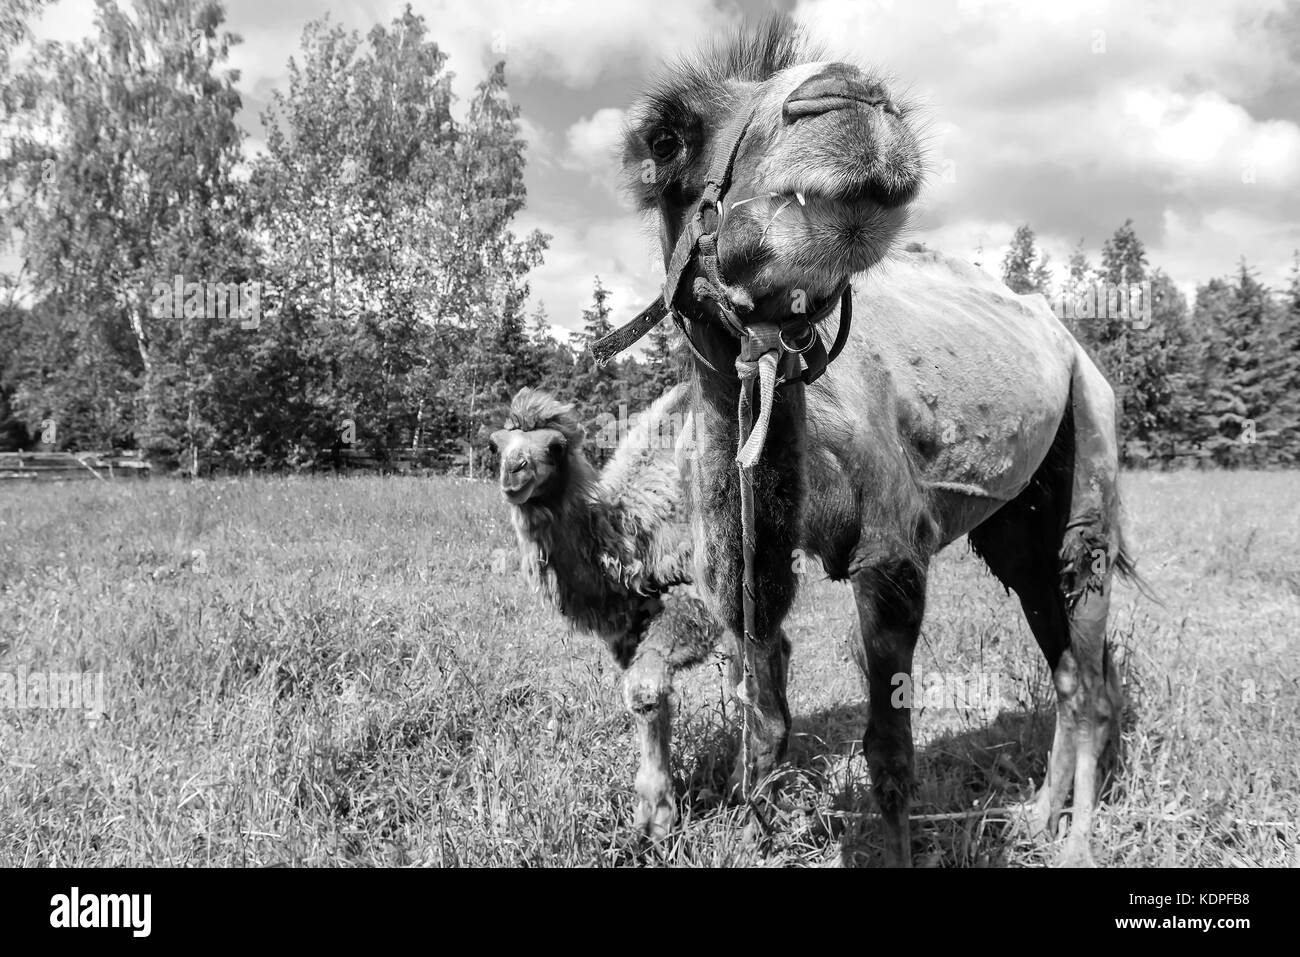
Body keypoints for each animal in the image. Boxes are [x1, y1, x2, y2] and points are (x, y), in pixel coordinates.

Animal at [608, 17, 1139, 867]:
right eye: (666, 136)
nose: (851, 98)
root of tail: (1071, 344)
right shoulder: (741, 582)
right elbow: (765, 725)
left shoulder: (890, 556)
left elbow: (889, 753)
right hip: (1014, 527)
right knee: (1061, 663)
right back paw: (1035, 816)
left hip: (1088, 442)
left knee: (1087, 663)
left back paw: (1076, 840)